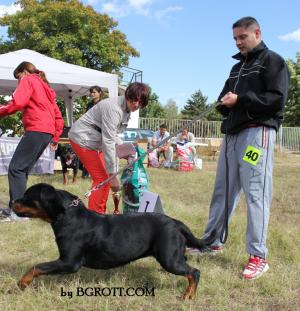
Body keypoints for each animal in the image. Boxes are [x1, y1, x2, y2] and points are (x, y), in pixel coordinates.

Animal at [12, 184, 214, 302]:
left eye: (27, 196)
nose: (11, 201)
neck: (66, 215)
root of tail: (175, 222)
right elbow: (39, 266)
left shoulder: (69, 262)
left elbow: (37, 266)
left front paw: (22, 282)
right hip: (172, 256)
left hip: (169, 259)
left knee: (194, 272)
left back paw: (188, 295)